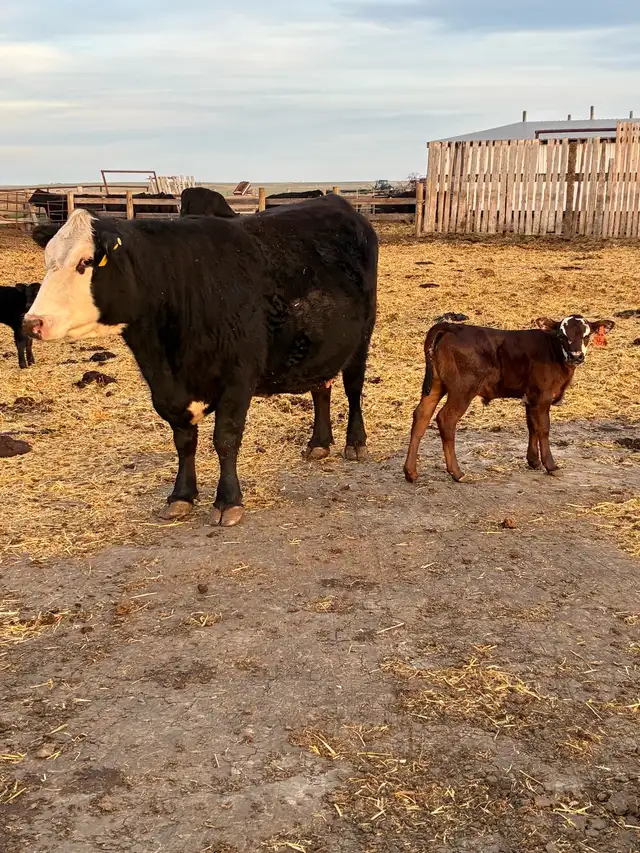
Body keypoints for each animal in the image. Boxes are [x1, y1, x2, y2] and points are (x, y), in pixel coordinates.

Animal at [24, 196, 378, 526]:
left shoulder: (239, 377)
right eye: (48, 261)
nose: (33, 322)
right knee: (321, 389)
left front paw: (228, 501)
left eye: (85, 262)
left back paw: (355, 443)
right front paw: (181, 495)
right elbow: (183, 441)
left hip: (361, 339)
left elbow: (225, 438)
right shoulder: (167, 390)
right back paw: (319, 443)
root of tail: (337, 202)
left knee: (353, 388)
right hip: (320, 346)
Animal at [403, 316, 615, 484]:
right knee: (446, 419)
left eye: (586, 336)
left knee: (421, 416)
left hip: (436, 386)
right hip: (462, 390)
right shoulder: (543, 397)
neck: (552, 350)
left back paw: (410, 472)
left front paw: (533, 461)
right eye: (562, 336)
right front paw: (551, 465)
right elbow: (543, 428)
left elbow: (532, 426)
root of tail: (449, 326)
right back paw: (457, 473)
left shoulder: (531, 397)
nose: (576, 355)